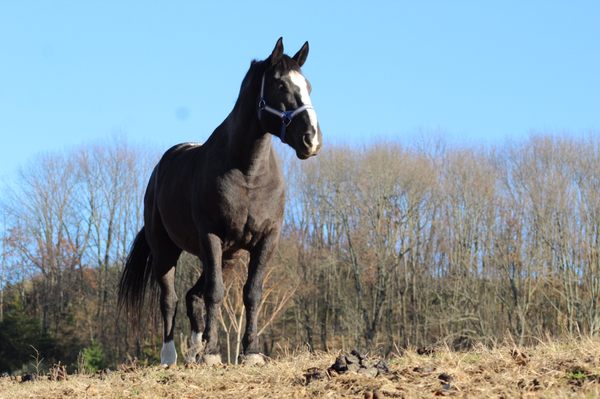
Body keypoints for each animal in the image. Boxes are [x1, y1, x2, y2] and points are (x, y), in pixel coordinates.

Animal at [118, 38, 324, 366]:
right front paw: (213, 352)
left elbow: (252, 292)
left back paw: (194, 350)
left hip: (226, 256)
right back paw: (171, 355)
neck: (248, 174)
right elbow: (215, 292)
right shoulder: (211, 236)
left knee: (192, 295)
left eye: (308, 86)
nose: (311, 140)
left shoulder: (267, 239)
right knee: (170, 298)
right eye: (280, 85)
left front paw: (250, 352)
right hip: (166, 250)